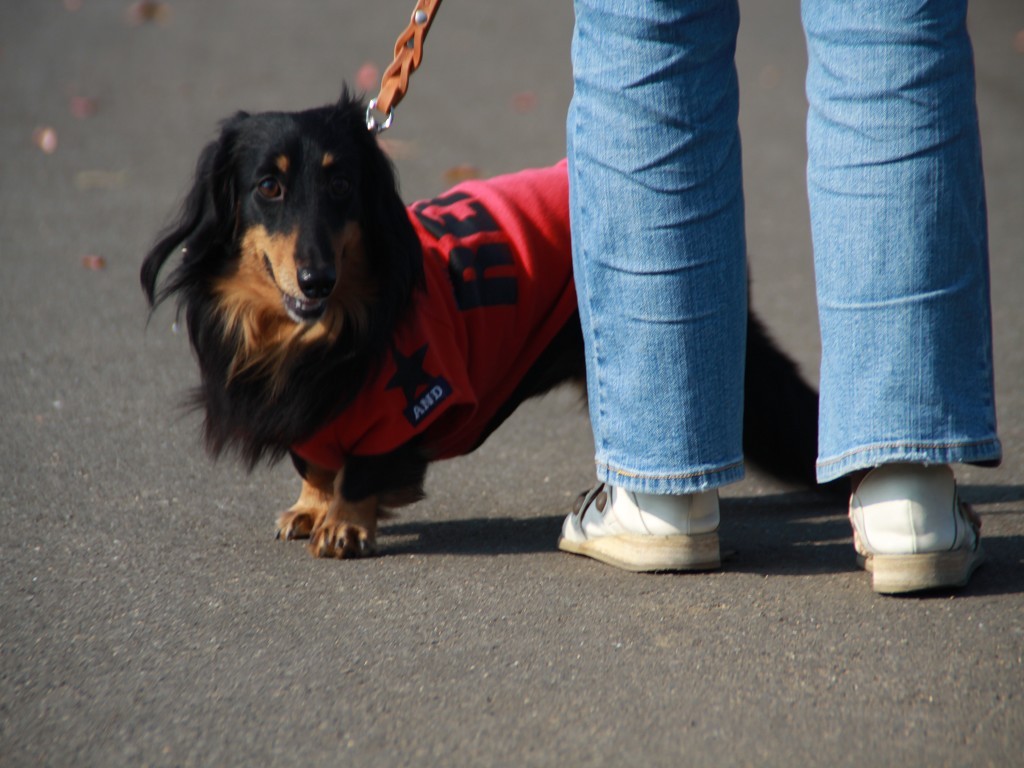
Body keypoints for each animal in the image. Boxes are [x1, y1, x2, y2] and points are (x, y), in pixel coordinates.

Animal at [140, 90, 823, 561]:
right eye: (269, 186)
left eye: (341, 184)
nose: (316, 281)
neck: (319, 333)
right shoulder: (311, 415)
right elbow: (313, 461)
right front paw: (310, 506)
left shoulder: (406, 402)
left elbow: (360, 470)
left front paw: (345, 522)